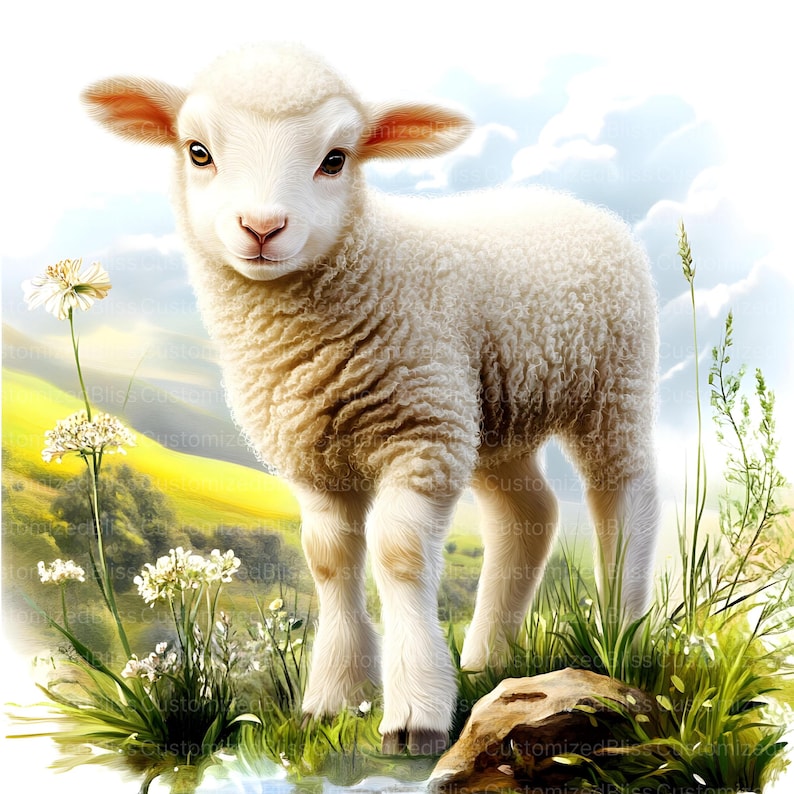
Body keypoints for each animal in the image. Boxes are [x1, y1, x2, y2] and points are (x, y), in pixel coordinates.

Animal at [82, 42, 660, 755]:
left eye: (335, 159)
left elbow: (398, 554)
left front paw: (415, 714)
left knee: (624, 494)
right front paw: (330, 700)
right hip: (488, 414)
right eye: (198, 151)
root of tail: (572, 203)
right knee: (528, 512)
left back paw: (621, 637)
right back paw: (486, 659)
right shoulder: (316, 457)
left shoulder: (421, 437)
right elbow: (330, 562)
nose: (262, 227)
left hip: (611, 382)